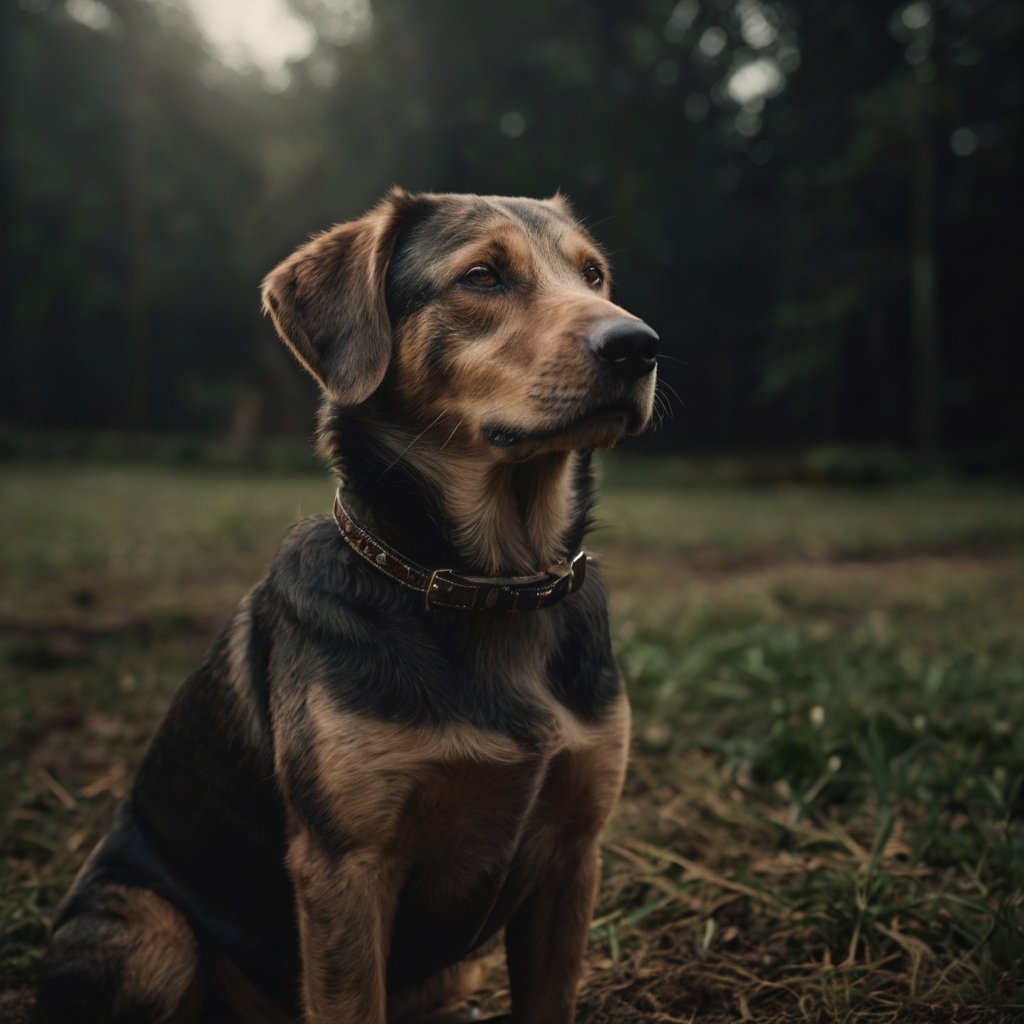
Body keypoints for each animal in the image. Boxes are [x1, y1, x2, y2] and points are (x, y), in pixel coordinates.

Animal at [32, 192, 659, 1024]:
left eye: (594, 276)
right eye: (483, 277)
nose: (639, 346)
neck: (489, 585)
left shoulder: (573, 853)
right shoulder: (345, 868)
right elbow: (352, 1000)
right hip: (150, 935)